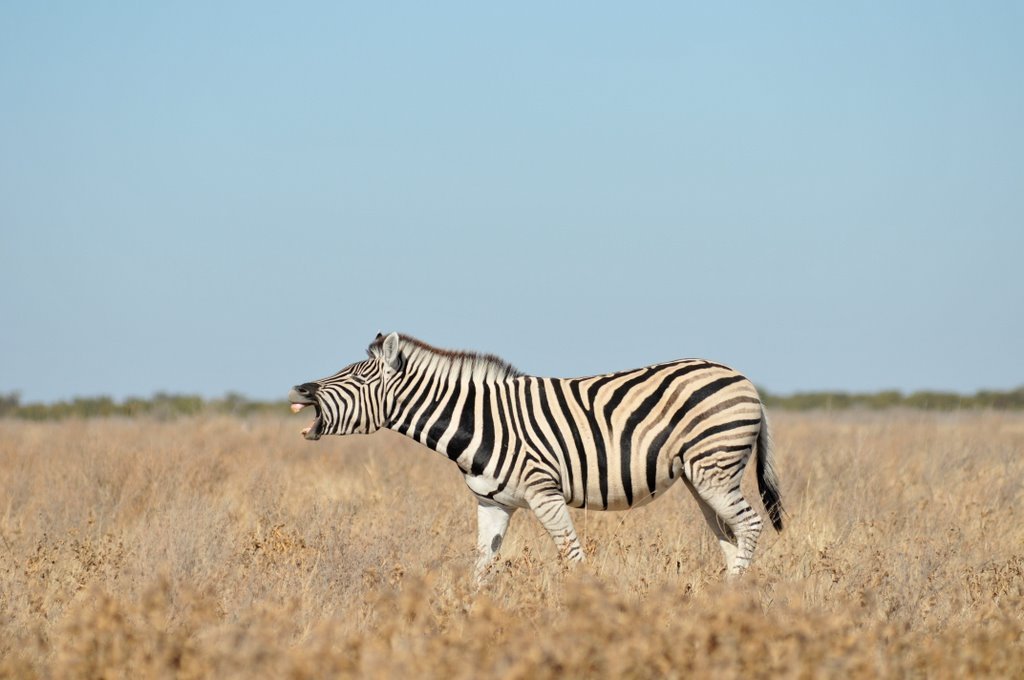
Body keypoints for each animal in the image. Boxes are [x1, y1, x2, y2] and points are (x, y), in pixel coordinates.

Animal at [288, 331, 782, 577]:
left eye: (356, 378)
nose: (298, 389)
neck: (479, 420)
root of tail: (744, 380)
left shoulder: (545, 493)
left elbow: (572, 557)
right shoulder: (491, 503)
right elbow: (482, 566)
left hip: (715, 470)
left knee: (750, 525)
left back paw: (734, 596)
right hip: (701, 481)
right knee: (730, 536)